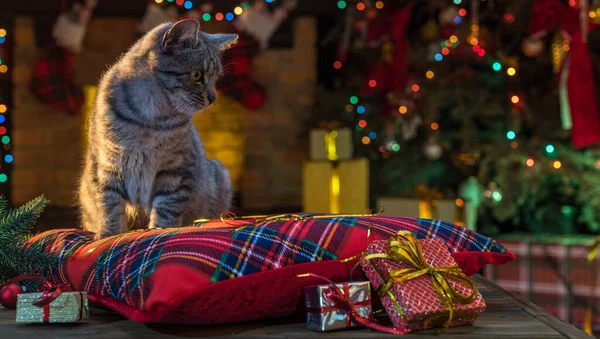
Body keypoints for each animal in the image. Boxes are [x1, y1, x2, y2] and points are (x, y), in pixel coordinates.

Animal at [79, 19, 237, 242]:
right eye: (196, 75)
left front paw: (161, 229)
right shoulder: (106, 164)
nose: (213, 98)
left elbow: (168, 206)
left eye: (216, 78)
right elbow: (109, 204)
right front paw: (108, 234)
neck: (149, 122)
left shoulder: (176, 168)